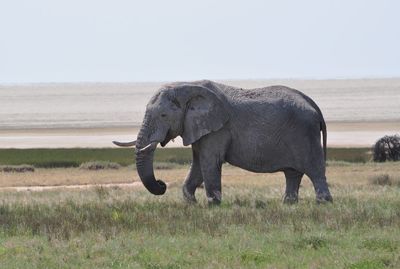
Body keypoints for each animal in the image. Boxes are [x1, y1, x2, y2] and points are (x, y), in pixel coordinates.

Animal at [112, 79, 332, 203]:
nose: (162, 184)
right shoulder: (198, 128)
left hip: (305, 133)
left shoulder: (218, 129)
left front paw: (213, 205)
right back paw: (288, 204)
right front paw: (191, 204)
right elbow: (198, 164)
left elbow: (209, 162)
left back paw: (323, 204)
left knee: (315, 171)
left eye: (164, 115)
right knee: (292, 174)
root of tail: (314, 106)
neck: (186, 87)